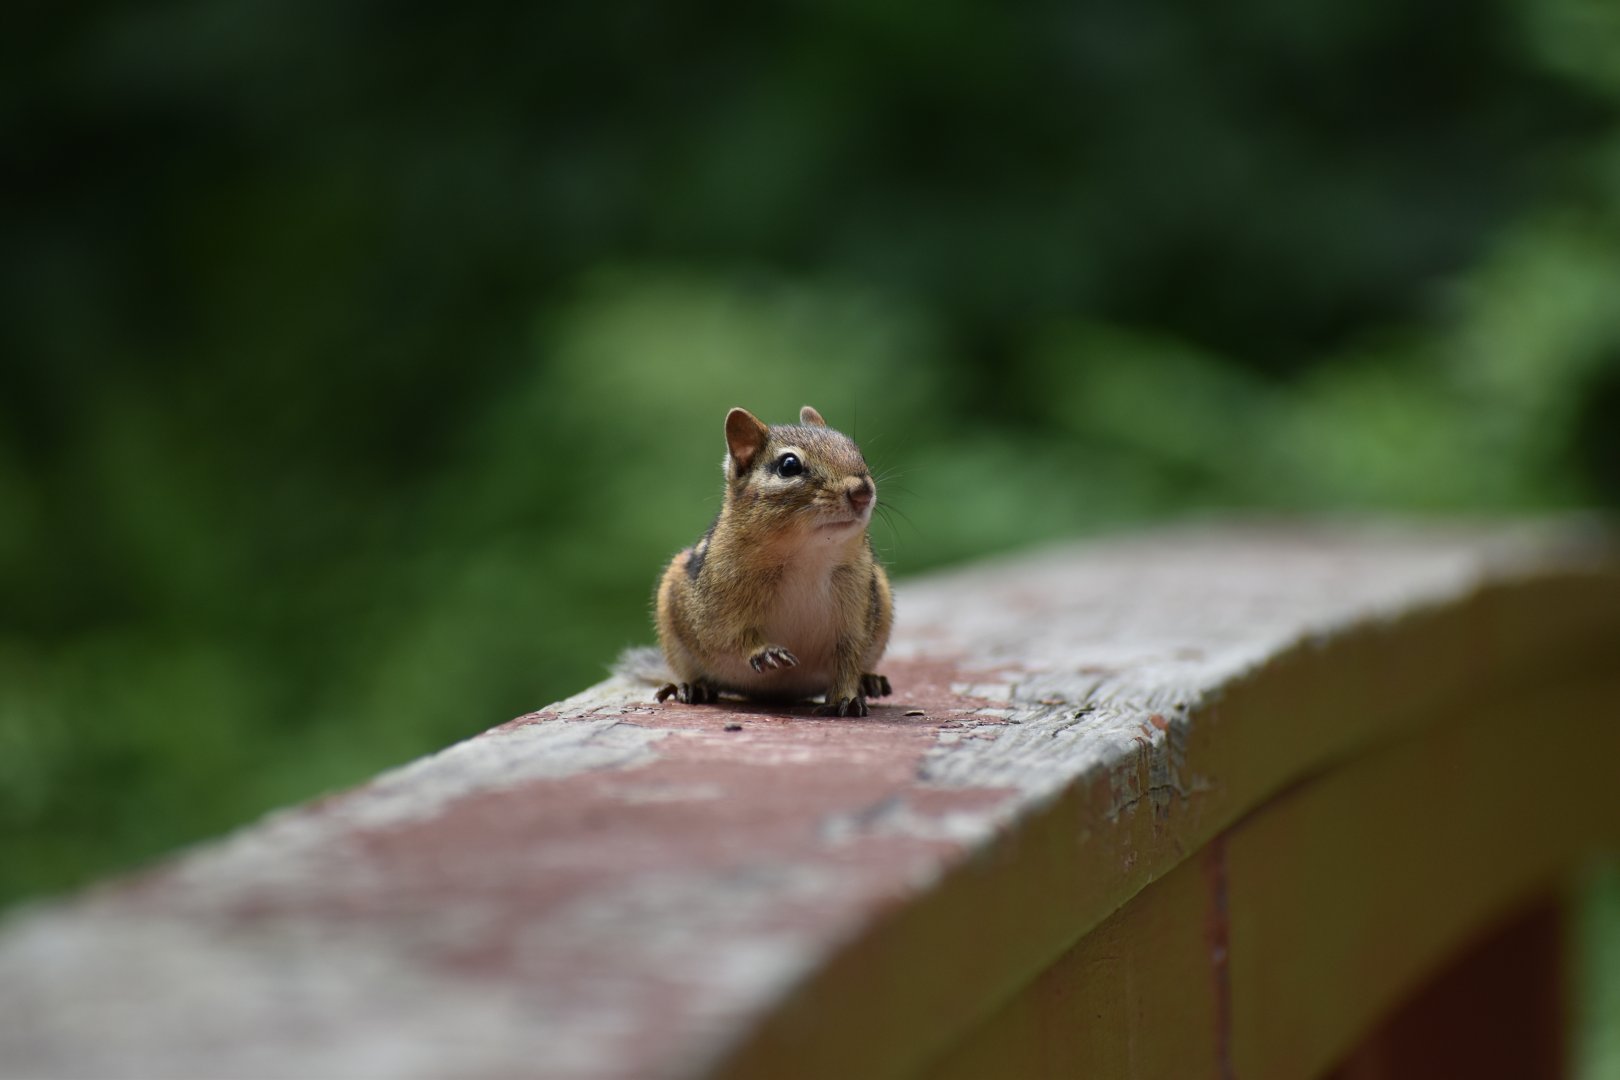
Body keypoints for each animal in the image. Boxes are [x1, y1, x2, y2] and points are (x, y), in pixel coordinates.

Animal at [652, 405, 893, 717]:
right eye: (789, 466)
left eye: (857, 451)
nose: (862, 491)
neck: (808, 558)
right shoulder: (717, 609)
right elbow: (727, 639)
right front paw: (763, 652)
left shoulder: (857, 613)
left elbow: (849, 660)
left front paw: (848, 697)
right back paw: (692, 687)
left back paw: (870, 681)